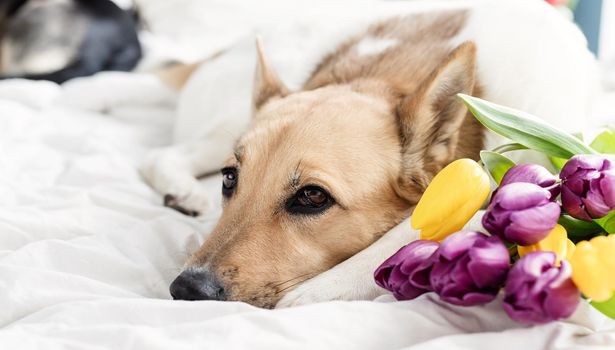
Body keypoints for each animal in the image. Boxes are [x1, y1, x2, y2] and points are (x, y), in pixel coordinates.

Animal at [142, 0, 600, 308]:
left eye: (312, 196)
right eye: (230, 179)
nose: (186, 289)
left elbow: (421, 230)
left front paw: (311, 294)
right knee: (163, 155)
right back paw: (185, 192)